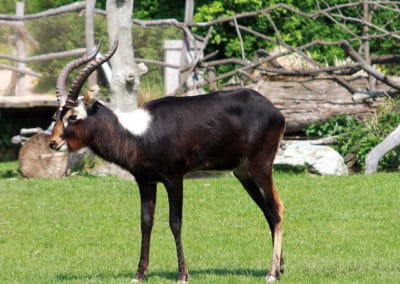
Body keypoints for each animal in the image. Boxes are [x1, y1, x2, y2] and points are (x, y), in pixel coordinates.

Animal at [50, 41, 286, 282]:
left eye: (73, 116)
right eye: (56, 116)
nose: (53, 143)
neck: (137, 133)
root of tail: (275, 111)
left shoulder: (174, 179)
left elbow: (175, 222)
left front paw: (183, 274)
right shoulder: (145, 182)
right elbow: (146, 222)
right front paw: (139, 274)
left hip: (260, 167)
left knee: (277, 209)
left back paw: (271, 274)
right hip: (243, 173)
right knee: (268, 211)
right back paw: (279, 268)